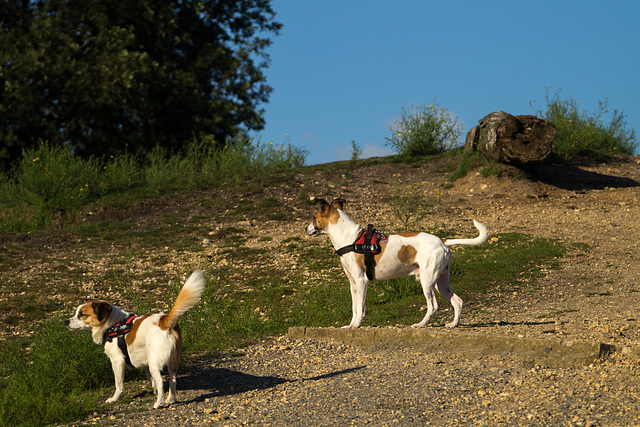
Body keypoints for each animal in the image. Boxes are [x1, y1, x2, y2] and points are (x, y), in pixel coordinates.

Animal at [65, 272, 205, 410]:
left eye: (82, 314)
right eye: (76, 313)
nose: (66, 321)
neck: (113, 325)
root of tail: (163, 320)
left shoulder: (117, 361)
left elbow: (119, 384)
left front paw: (114, 398)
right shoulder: (145, 361)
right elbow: (152, 380)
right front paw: (153, 390)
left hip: (154, 362)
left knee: (160, 380)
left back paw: (159, 403)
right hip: (172, 361)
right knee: (173, 380)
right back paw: (171, 399)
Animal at [308, 199, 488, 330]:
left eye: (313, 217)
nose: (305, 229)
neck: (352, 239)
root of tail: (442, 241)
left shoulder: (361, 281)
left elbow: (361, 308)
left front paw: (357, 324)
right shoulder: (353, 283)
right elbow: (354, 307)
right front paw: (351, 325)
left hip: (427, 281)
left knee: (433, 306)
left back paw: (420, 324)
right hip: (441, 283)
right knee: (458, 301)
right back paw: (453, 324)